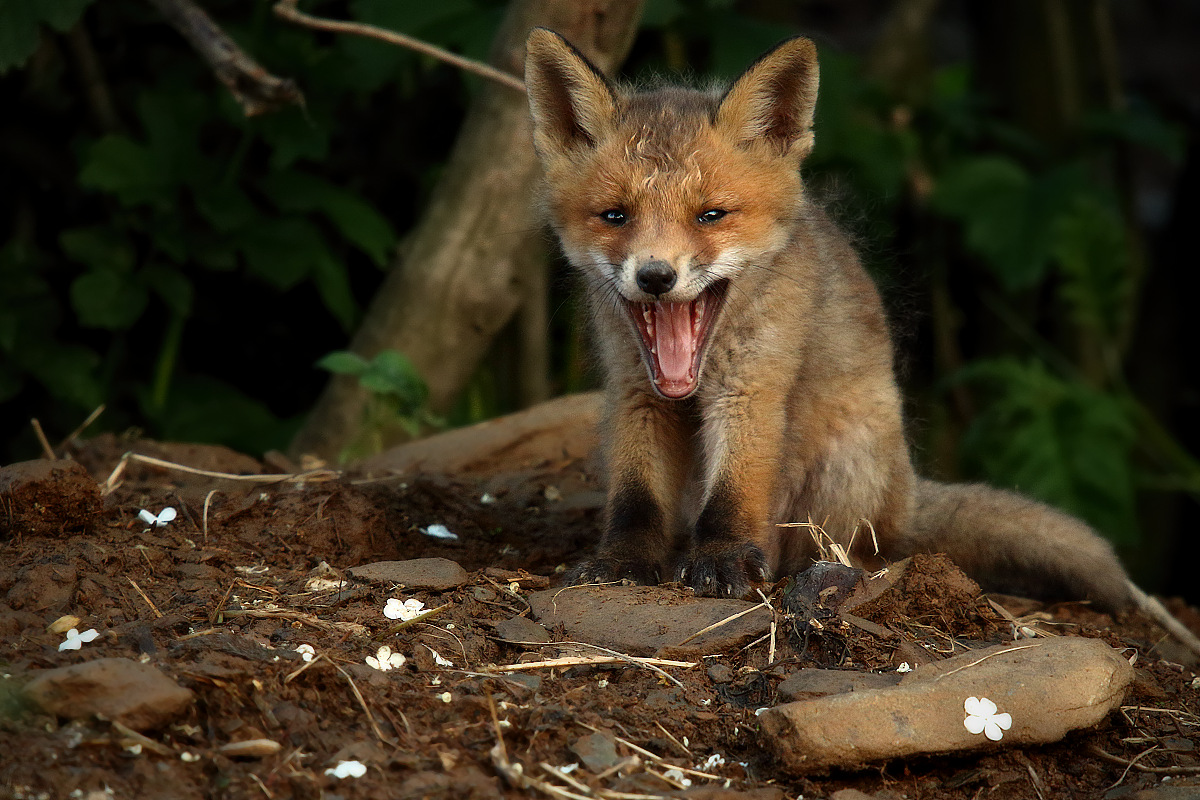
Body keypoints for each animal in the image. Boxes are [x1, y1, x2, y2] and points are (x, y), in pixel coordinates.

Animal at [525, 28, 1132, 609]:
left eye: (710, 215)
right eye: (615, 216)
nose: (655, 276)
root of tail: (906, 496)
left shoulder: (754, 386)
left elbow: (735, 493)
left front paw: (722, 558)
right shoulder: (636, 392)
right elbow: (636, 497)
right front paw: (621, 562)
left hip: (844, 459)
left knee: (852, 547)